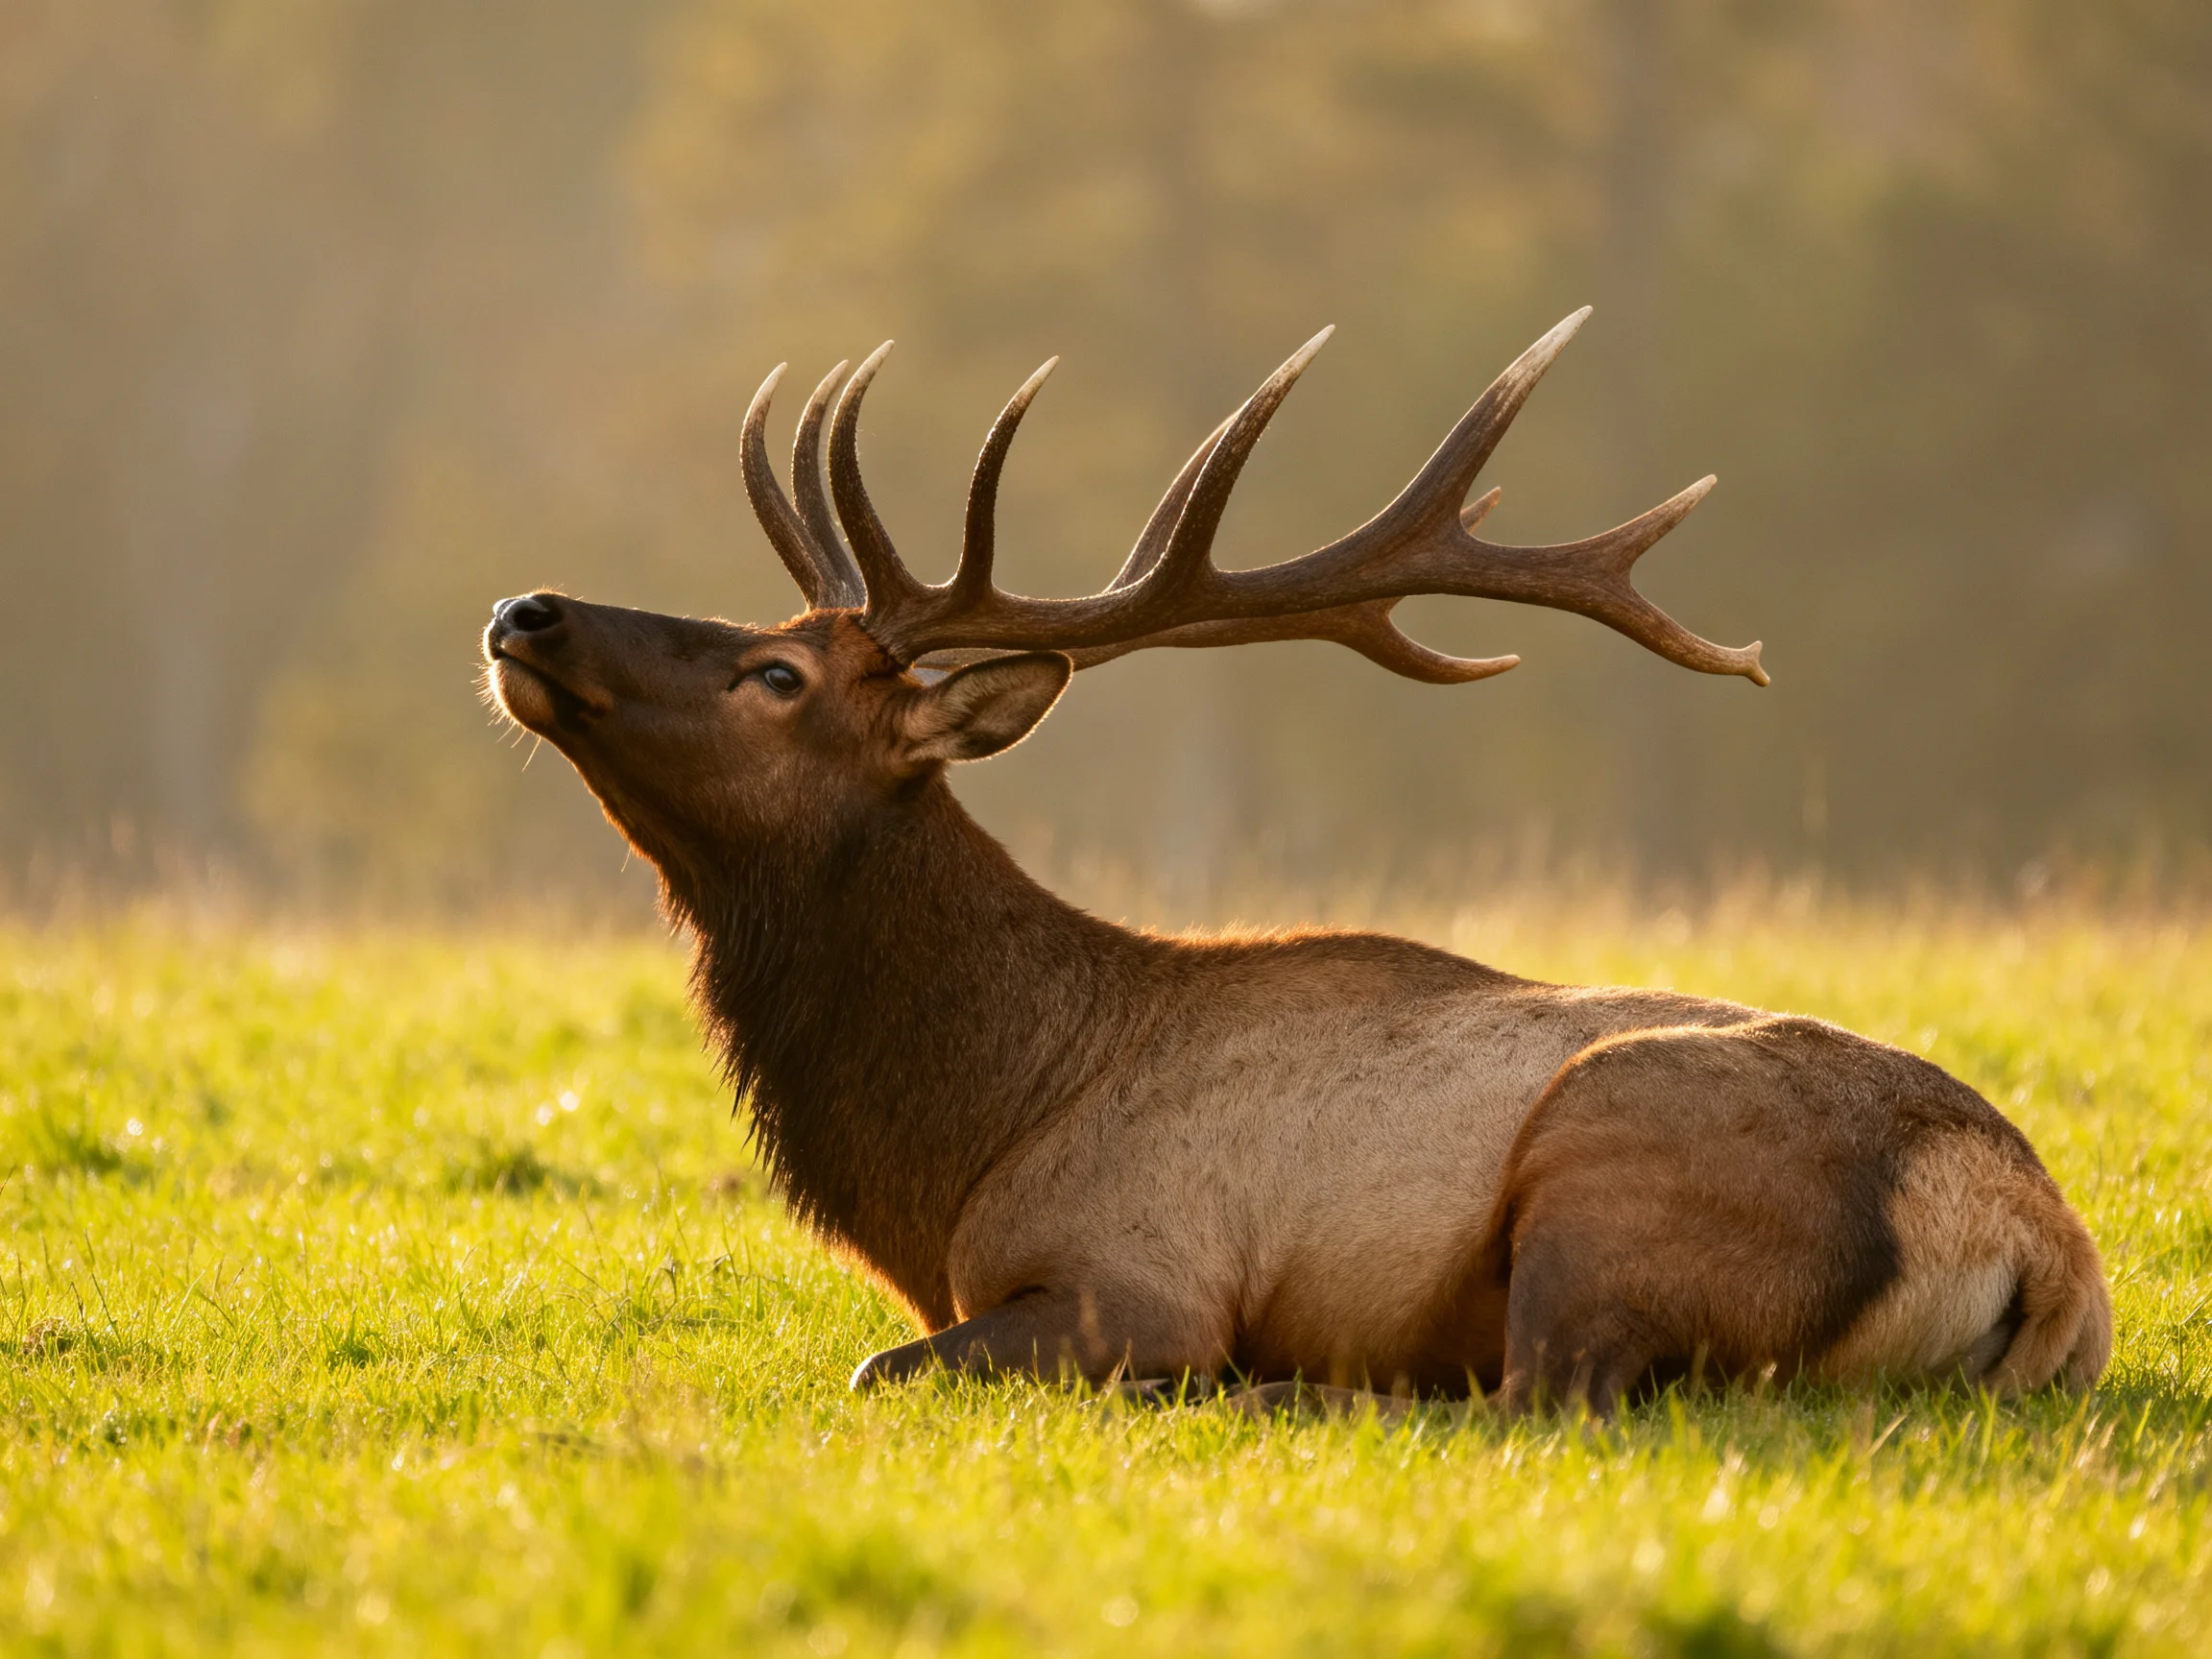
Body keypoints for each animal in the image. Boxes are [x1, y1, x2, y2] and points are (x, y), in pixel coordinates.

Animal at [482, 310, 2110, 1415]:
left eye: (778, 677)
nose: (525, 609)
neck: (967, 1139)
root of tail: (2045, 1247)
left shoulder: (1134, 1275)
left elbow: (881, 1364)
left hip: (1608, 1169)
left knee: (1544, 1396)